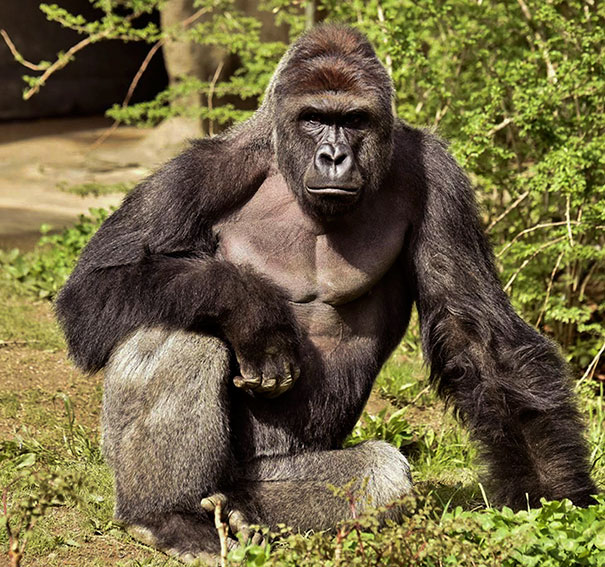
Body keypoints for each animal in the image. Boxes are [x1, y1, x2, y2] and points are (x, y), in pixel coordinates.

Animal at [55, 23, 596, 564]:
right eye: (314, 118)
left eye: (353, 120)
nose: (334, 156)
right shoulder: (200, 171)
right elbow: (92, 288)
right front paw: (251, 308)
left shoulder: (440, 179)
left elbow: (477, 335)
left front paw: (552, 497)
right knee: (178, 328)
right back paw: (167, 515)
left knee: (378, 473)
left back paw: (242, 513)